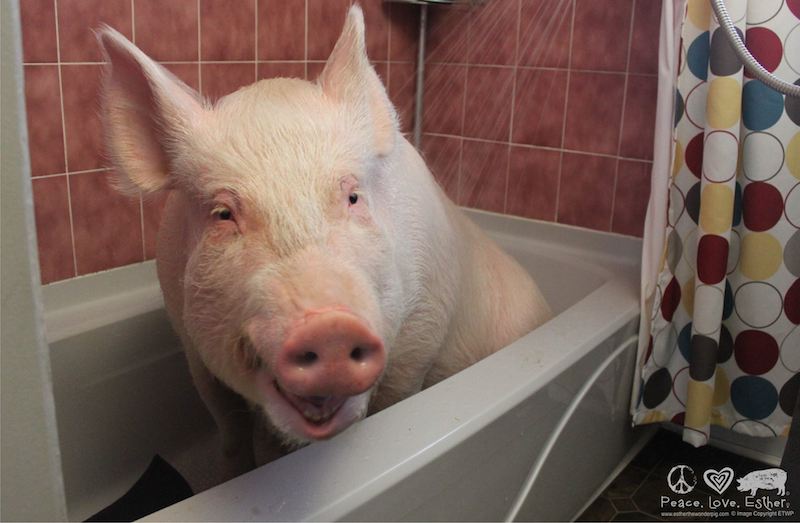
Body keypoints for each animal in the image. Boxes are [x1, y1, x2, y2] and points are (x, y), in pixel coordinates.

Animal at [97, 5, 552, 478]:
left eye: (352, 197)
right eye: (223, 213)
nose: (328, 326)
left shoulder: (424, 328)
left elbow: (396, 396)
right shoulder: (188, 341)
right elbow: (228, 427)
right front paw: (233, 475)